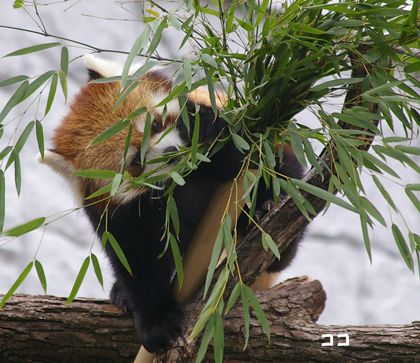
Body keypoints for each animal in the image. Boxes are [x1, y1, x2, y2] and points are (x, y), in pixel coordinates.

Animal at [38, 55, 302, 354]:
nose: (172, 153)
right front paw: (157, 322)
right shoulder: (121, 217)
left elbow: (244, 150)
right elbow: (137, 263)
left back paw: (265, 215)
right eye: (136, 162)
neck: (178, 183)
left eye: (154, 125)